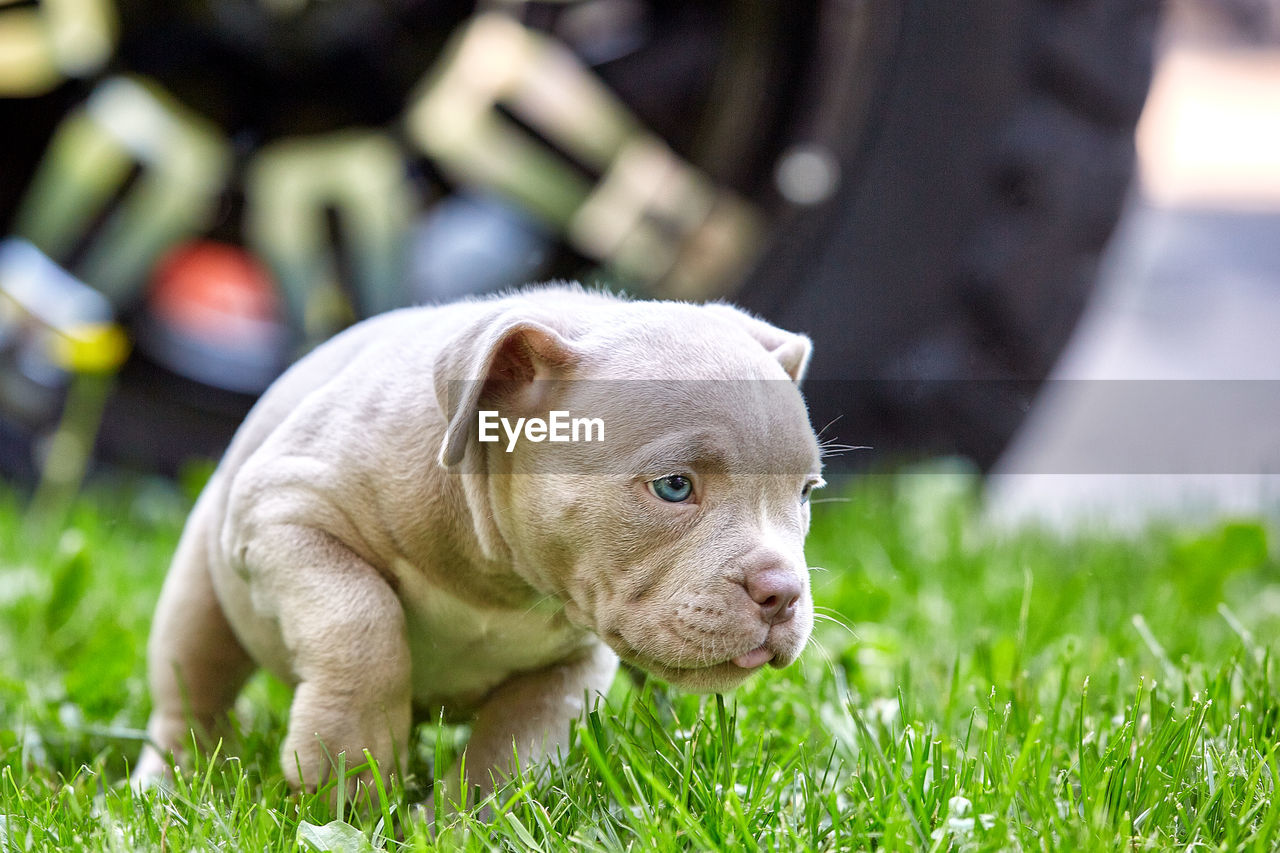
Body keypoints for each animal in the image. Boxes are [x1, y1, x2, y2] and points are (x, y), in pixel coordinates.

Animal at [135, 284, 824, 804]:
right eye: (675, 486)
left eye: (806, 493)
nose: (782, 592)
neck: (499, 582)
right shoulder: (283, 513)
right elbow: (361, 618)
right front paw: (349, 763)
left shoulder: (568, 669)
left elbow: (510, 752)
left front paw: (456, 824)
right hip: (200, 590)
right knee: (191, 696)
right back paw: (168, 789)